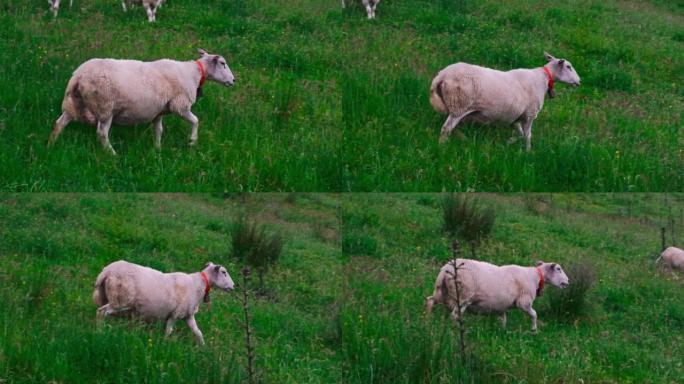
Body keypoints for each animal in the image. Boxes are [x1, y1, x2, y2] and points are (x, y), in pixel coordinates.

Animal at [48, 48, 235, 154]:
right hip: (105, 107)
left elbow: (158, 130)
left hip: (74, 103)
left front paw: (157, 149)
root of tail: (78, 76)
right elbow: (196, 120)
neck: (195, 73)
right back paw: (112, 155)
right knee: (101, 133)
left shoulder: (159, 111)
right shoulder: (179, 105)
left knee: (59, 123)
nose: (234, 81)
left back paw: (51, 144)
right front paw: (192, 142)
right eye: (223, 63)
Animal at [93, 260, 235, 344]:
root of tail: (106, 271)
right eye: (224, 272)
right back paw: (99, 331)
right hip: (120, 301)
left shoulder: (188, 315)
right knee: (101, 312)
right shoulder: (174, 314)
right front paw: (165, 345)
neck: (199, 284)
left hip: (109, 298)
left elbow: (198, 332)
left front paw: (202, 347)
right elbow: (168, 331)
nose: (234, 286)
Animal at [424, 260, 568, 332]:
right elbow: (534, 314)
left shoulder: (501, 306)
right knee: (454, 316)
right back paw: (456, 330)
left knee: (430, 301)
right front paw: (534, 330)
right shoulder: (524, 302)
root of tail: (446, 270)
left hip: (441, 291)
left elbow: (503, 319)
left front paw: (502, 332)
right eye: (559, 269)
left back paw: (427, 320)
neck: (536, 277)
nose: (568, 282)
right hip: (464, 297)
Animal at [430, 51, 580, 151]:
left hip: (455, 106)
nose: (579, 81)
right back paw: (442, 147)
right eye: (569, 67)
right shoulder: (529, 115)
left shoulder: (515, 117)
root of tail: (441, 76)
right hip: (460, 104)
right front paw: (528, 153)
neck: (544, 78)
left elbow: (520, 134)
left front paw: (509, 142)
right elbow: (527, 136)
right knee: (446, 128)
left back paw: (461, 139)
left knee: (451, 127)